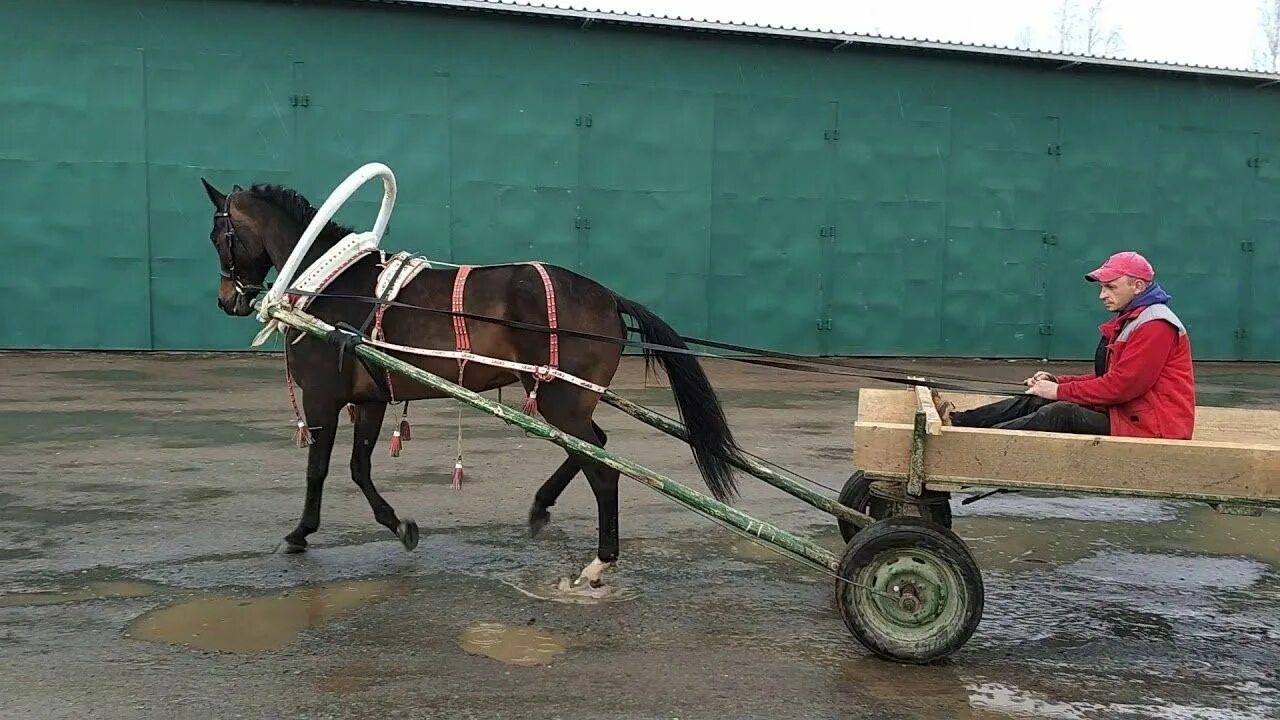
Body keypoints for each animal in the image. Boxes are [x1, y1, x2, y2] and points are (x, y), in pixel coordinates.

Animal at [199, 176, 747, 586]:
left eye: (217, 237)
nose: (227, 300)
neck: (332, 288)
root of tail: (609, 297)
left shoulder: (321, 396)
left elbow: (317, 470)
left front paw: (299, 533)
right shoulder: (370, 397)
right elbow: (358, 468)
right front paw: (399, 526)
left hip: (561, 398)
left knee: (603, 468)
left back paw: (598, 563)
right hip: (562, 398)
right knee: (592, 447)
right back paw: (542, 506)